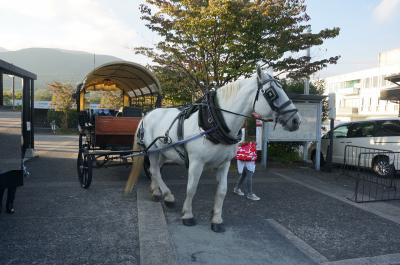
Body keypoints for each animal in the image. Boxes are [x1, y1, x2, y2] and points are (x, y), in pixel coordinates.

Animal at [125, 66, 300, 231]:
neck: (216, 122)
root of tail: (147, 114)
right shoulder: (196, 162)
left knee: (155, 170)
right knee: (154, 170)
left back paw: (156, 191)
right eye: (271, 93)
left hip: (162, 152)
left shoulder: (224, 164)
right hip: (152, 150)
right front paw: (188, 215)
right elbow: (191, 188)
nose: (296, 120)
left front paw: (216, 219)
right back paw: (168, 196)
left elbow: (222, 191)